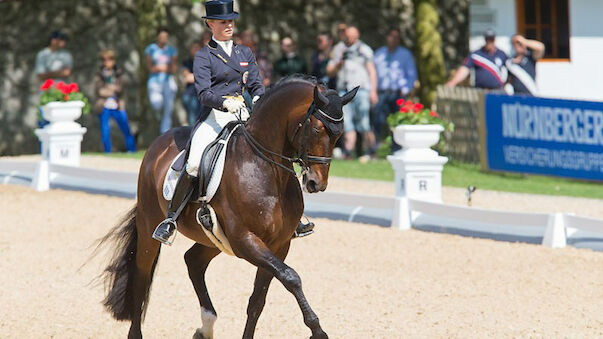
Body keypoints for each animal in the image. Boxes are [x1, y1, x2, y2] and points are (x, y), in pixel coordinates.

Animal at [96, 75, 356, 339]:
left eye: (339, 135)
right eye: (316, 129)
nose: (316, 183)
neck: (265, 168)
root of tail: (160, 141)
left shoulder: (279, 244)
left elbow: (258, 301)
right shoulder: (245, 240)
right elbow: (291, 277)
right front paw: (317, 329)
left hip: (214, 239)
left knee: (193, 261)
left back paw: (206, 326)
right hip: (151, 223)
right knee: (142, 274)